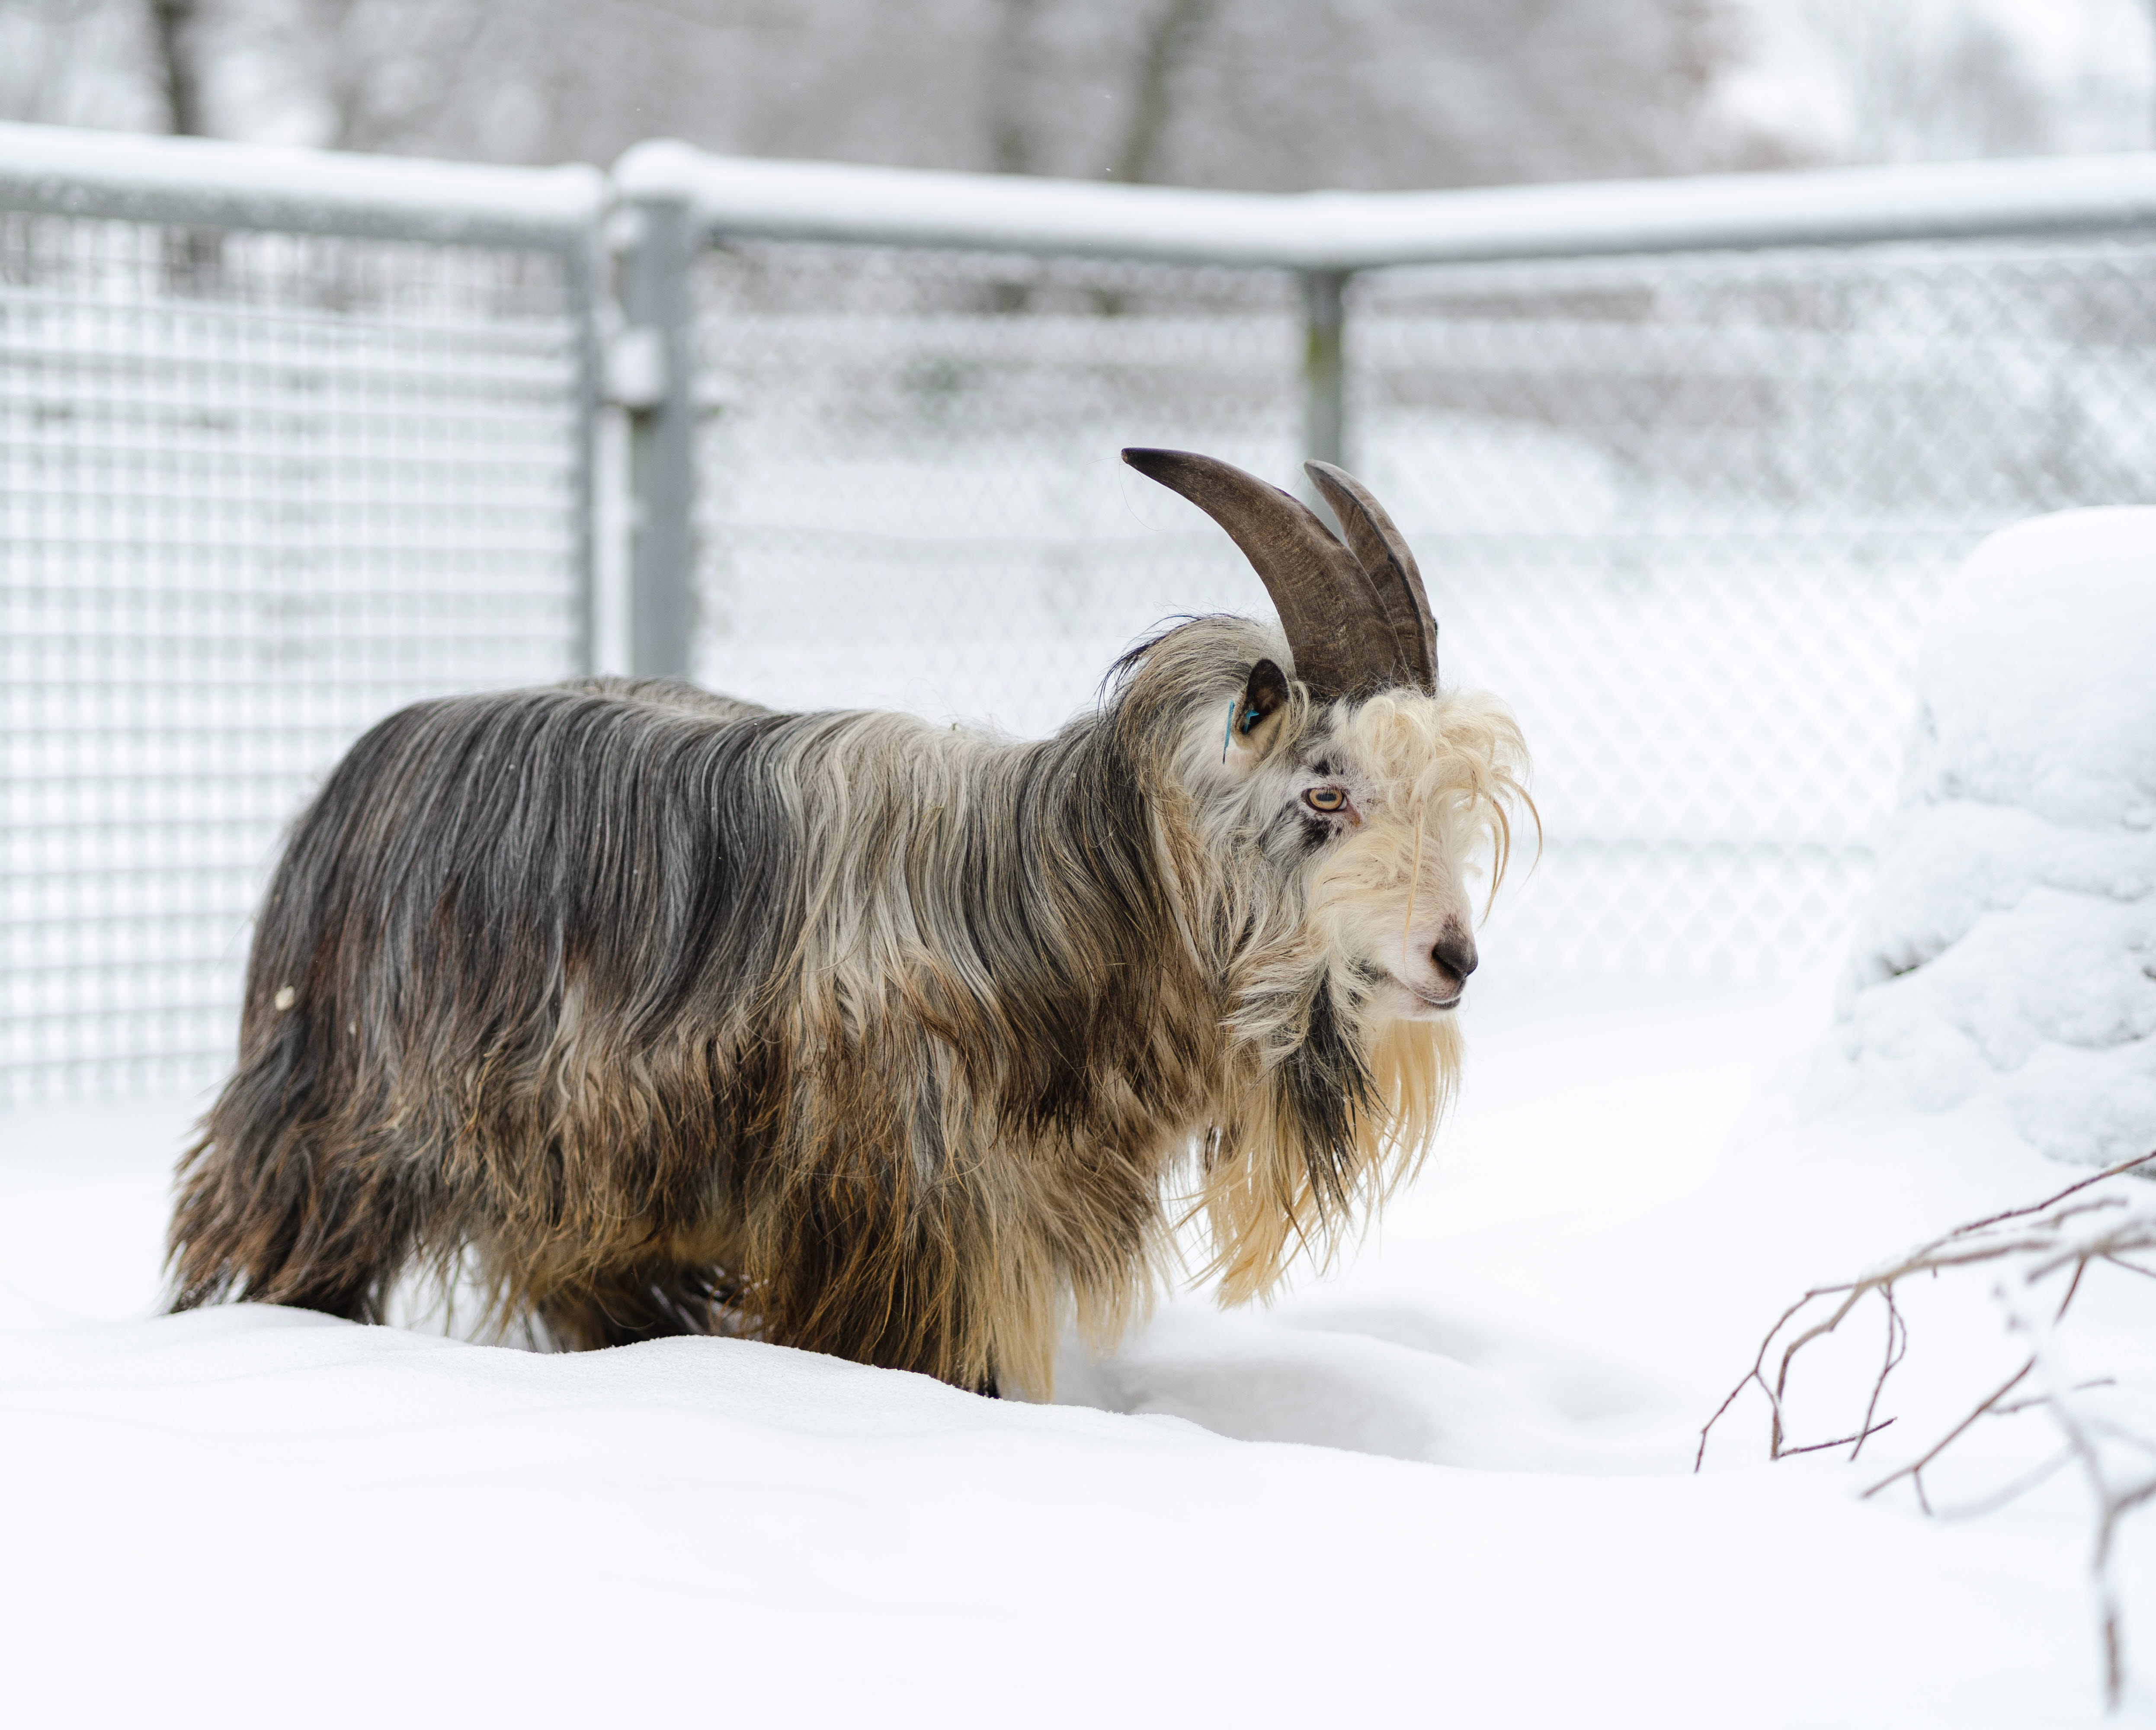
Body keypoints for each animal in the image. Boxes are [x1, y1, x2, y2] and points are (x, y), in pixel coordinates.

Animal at [168, 450, 1530, 1396]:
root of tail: (370, 760)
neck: (1066, 902)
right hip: (334, 1128)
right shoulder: (900, 1226)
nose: (1452, 959)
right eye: (1327, 793)